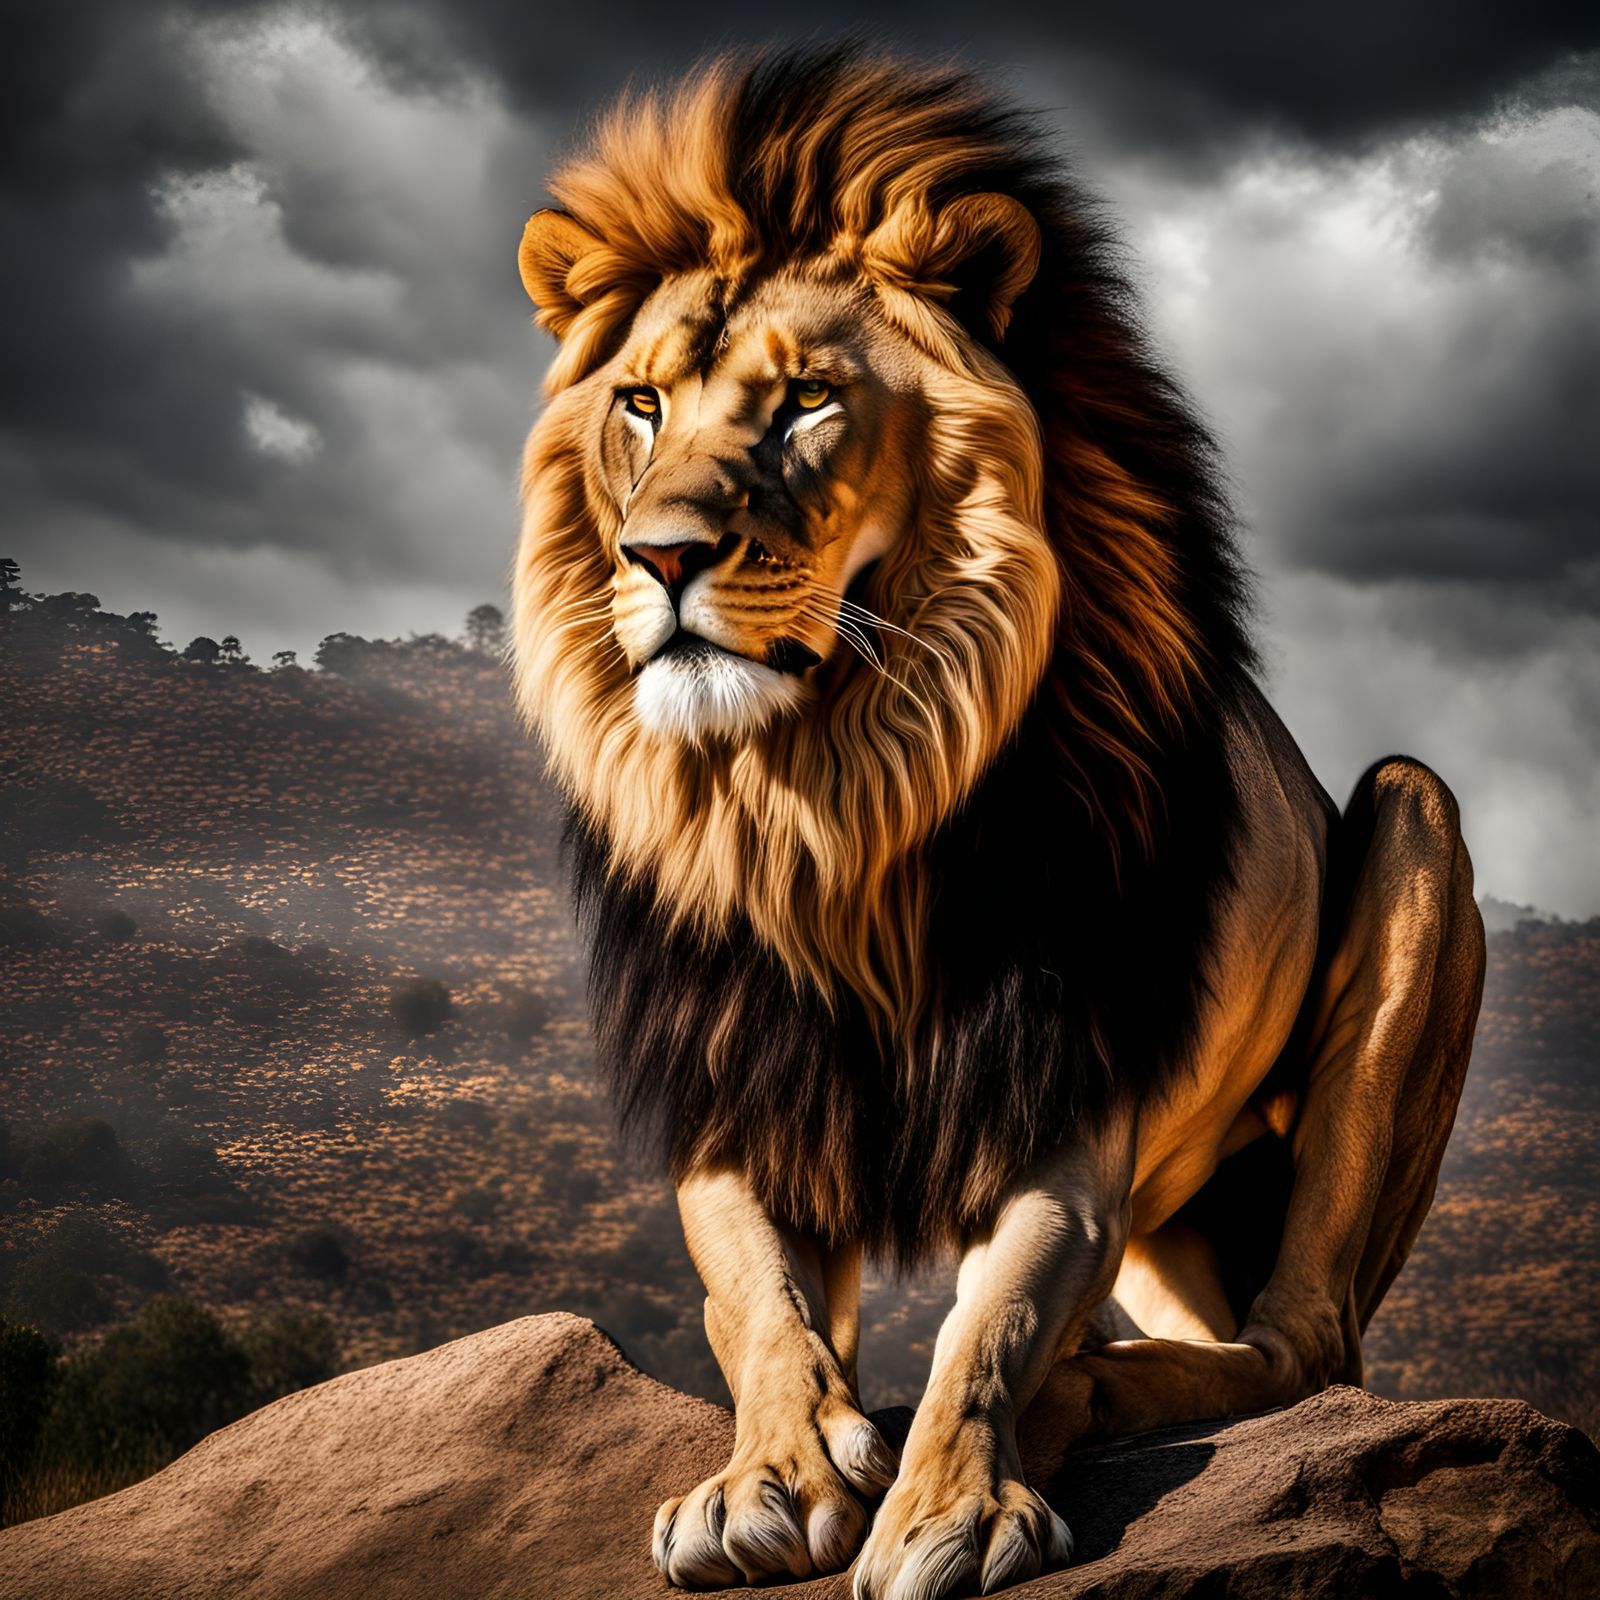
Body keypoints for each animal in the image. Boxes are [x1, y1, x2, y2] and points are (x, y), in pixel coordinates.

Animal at [509, 45, 1485, 1600]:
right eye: (644, 406)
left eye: (805, 401)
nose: (659, 556)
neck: (828, 797)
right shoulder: (743, 1097)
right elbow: (757, 1306)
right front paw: (766, 1477)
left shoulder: (1070, 1118)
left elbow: (994, 1324)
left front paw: (950, 1507)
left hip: (1414, 822)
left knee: (1298, 1347)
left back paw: (1102, 1390)